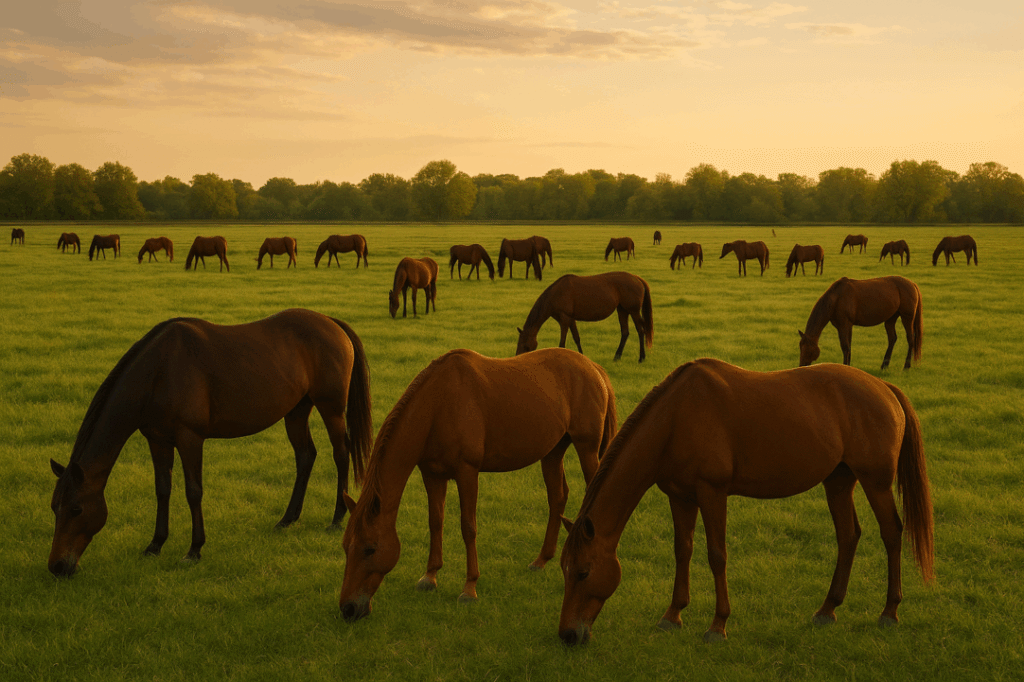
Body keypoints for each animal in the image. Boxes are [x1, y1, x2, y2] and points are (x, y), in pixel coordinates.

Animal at [47, 308, 373, 578]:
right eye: (54, 508)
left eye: (76, 509)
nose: (57, 566)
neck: (159, 370)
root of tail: (331, 322)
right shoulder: (157, 439)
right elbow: (162, 489)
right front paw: (155, 544)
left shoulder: (190, 438)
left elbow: (193, 491)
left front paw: (194, 549)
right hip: (296, 410)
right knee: (306, 456)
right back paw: (287, 519)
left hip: (331, 407)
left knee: (340, 453)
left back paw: (336, 518)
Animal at [338, 347, 618, 621]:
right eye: (345, 546)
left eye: (370, 549)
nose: (348, 608)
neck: (438, 404)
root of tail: (594, 368)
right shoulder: (433, 474)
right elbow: (435, 522)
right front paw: (430, 576)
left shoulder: (467, 472)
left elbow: (468, 527)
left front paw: (469, 588)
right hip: (552, 451)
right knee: (557, 497)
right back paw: (541, 560)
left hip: (587, 448)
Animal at [516, 273, 653, 363]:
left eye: (524, 344)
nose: (518, 357)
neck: (555, 294)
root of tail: (636, 278)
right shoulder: (571, 319)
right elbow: (577, 338)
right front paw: (582, 357)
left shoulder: (564, 319)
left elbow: (562, 342)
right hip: (622, 310)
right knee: (625, 332)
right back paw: (617, 356)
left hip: (633, 311)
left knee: (641, 331)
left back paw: (641, 357)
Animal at [558, 358, 933, 644]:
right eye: (563, 570)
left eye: (584, 572)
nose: (567, 635)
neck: (677, 418)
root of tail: (884, 388)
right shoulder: (680, 496)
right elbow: (683, 550)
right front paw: (673, 615)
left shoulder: (712, 492)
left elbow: (716, 556)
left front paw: (717, 626)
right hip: (839, 481)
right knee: (848, 536)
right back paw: (827, 609)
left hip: (876, 482)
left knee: (892, 533)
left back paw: (889, 611)